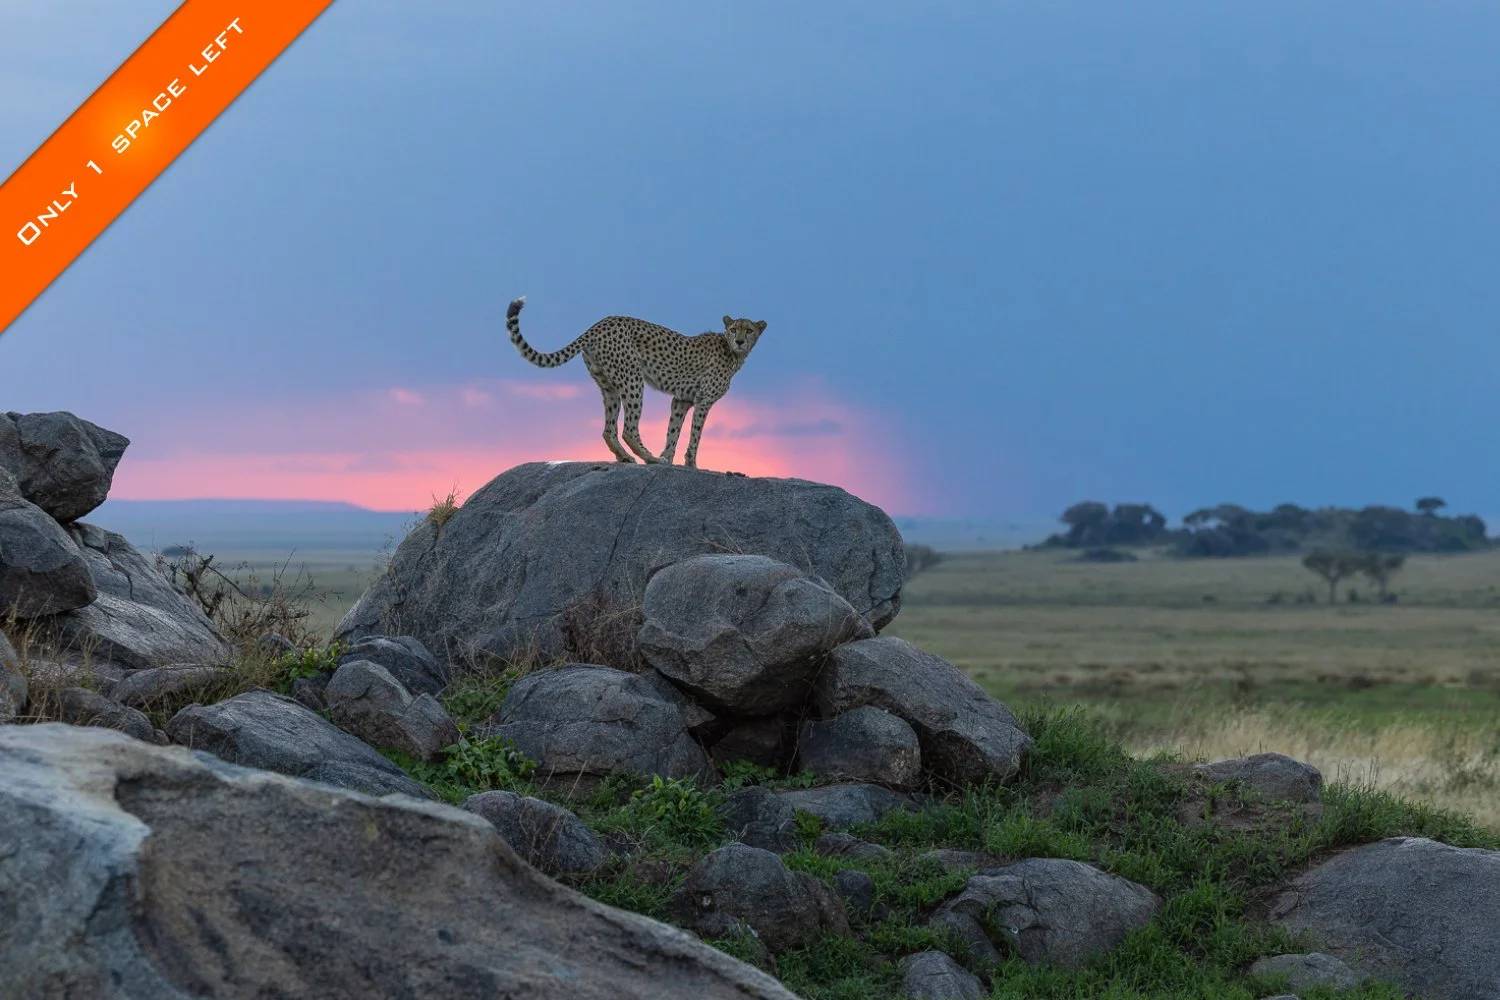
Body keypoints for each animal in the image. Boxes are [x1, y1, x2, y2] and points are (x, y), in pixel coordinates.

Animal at [505, 296, 767, 469]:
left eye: (749, 330)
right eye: (733, 329)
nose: (740, 341)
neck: (732, 352)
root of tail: (600, 323)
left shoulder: (681, 400)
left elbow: (673, 430)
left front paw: (669, 458)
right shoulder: (703, 401)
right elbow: (695, 434)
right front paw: (690, 463)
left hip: (609, 385)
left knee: (609, 429)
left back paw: (626, 458)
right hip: (633, 380)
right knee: (629, 429)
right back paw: (648, 458)